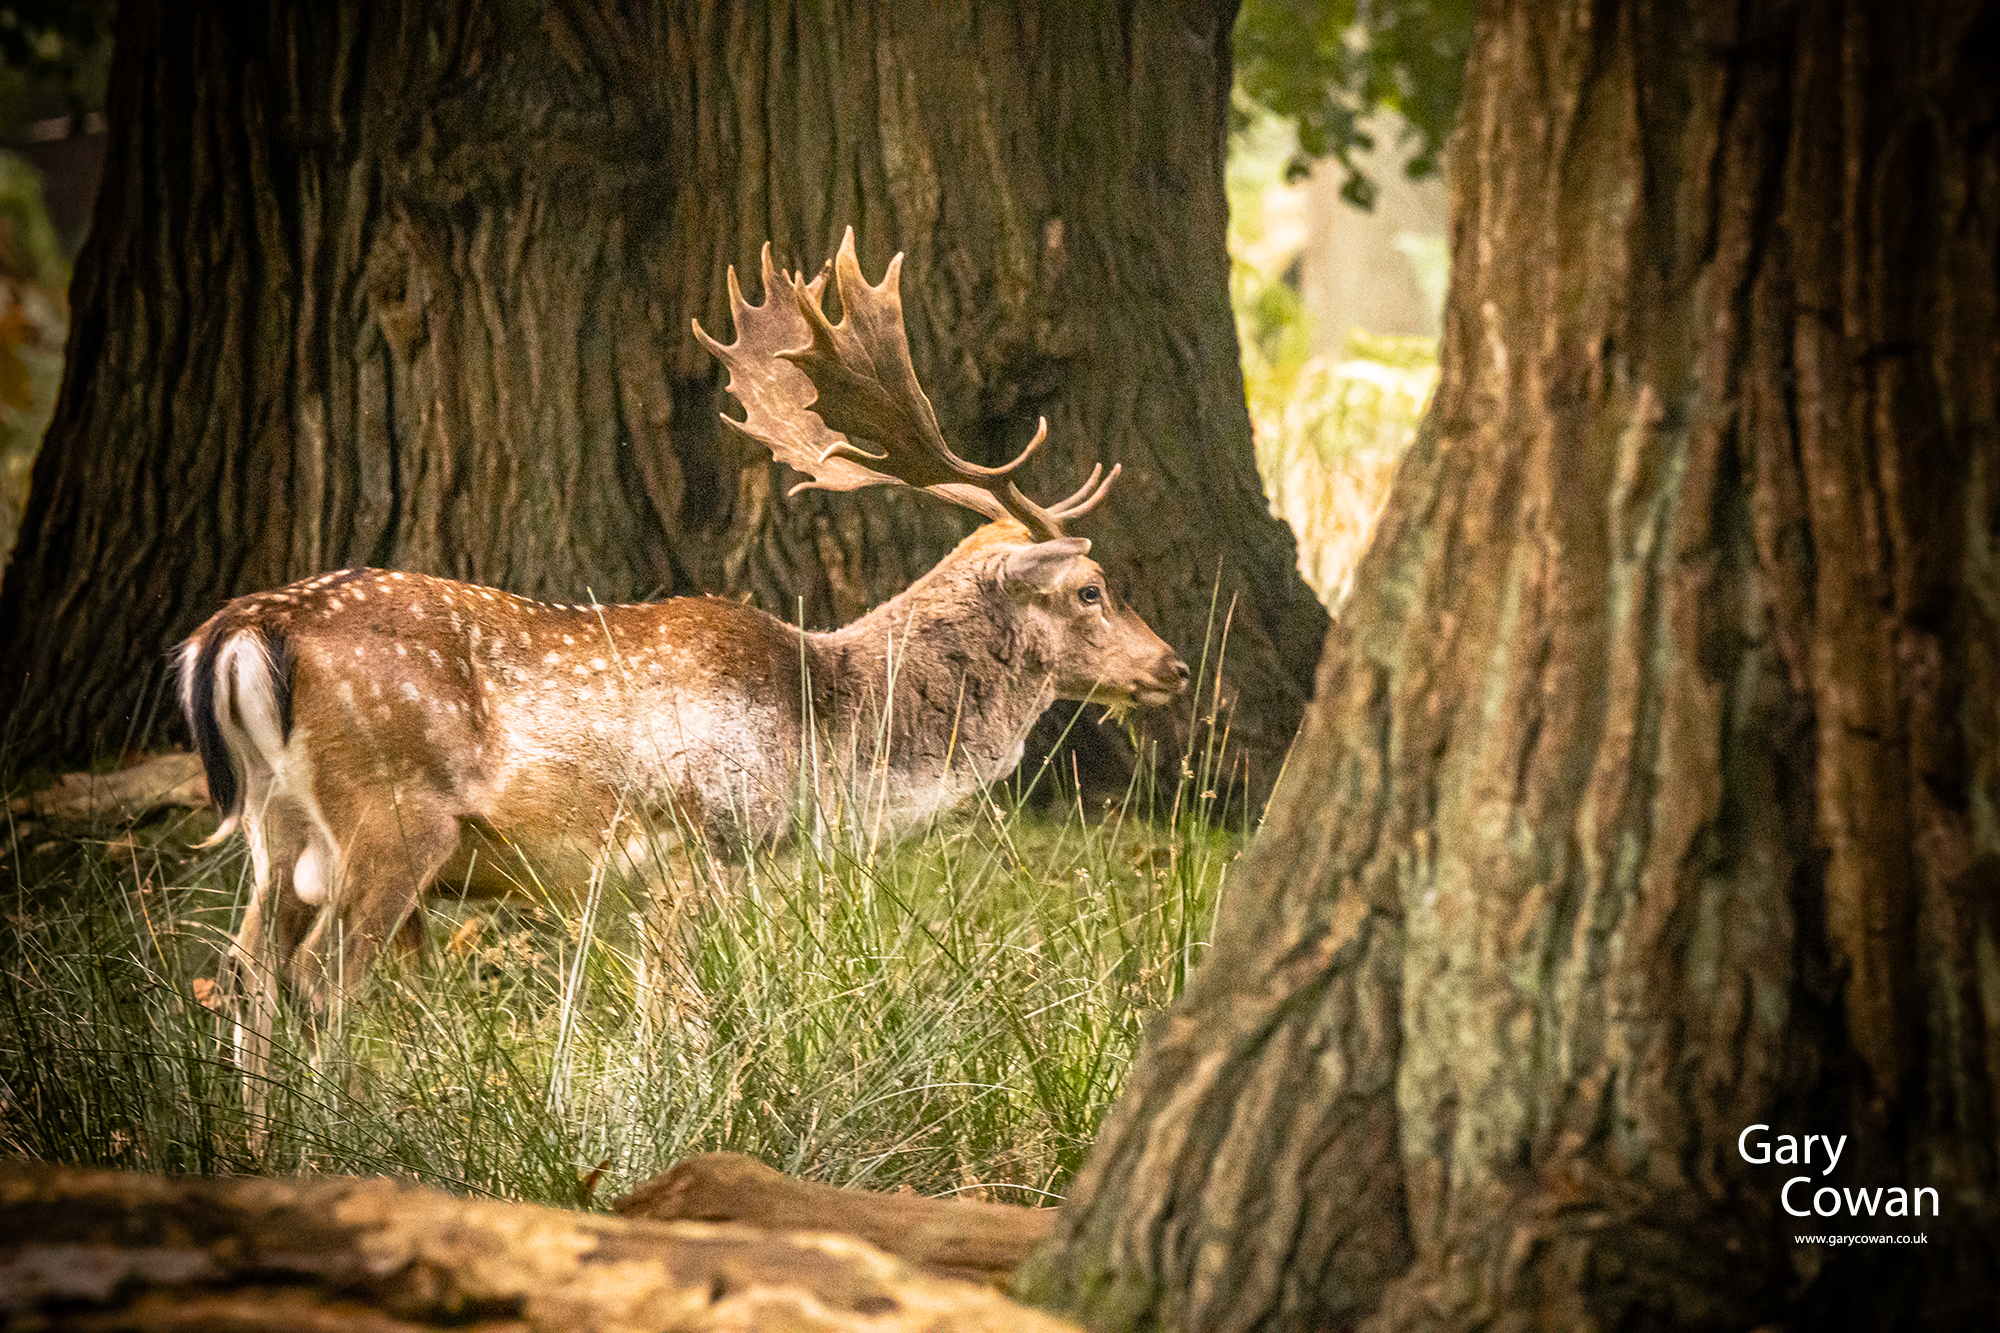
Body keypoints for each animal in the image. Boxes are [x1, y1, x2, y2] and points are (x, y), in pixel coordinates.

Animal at [179, 229, 1187, 1085]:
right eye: (1091, 588)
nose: (1173, 665)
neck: (824, 738)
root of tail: (238, 631)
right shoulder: (706, 841)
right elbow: (685, 1014)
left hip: (278, 829)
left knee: (245, 972)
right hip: (392, 811)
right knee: (319, 979)